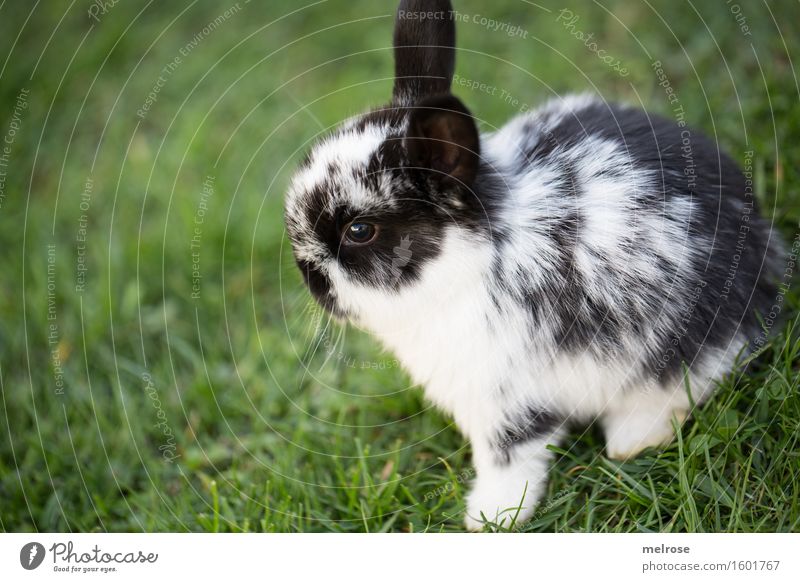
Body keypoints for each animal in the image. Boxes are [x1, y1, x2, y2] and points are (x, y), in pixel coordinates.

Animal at [284, 0, 784, 532]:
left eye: (360, 231)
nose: (310, 278)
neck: (471, 264)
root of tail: (763, 243)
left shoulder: (508, 396)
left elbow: (509, 456)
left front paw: (491, 516)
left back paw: (630, 442)